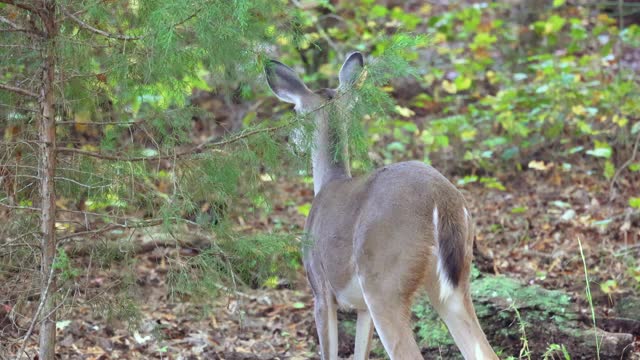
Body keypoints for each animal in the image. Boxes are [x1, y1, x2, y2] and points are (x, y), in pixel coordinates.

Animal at [262, 51, 498, 360]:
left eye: (297, 113)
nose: (289, 142)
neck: (329, 182)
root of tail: (440, 199)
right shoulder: (362, 308)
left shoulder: (320, 287)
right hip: (455, 283)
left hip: (384, 280)